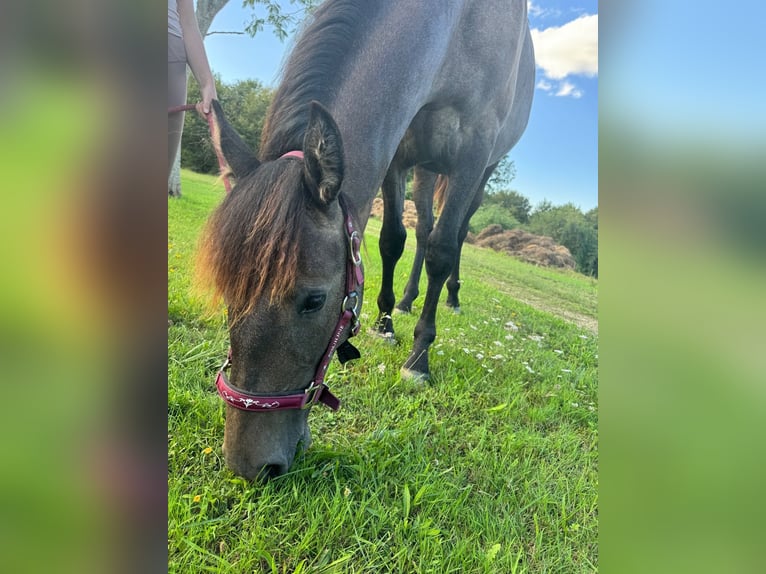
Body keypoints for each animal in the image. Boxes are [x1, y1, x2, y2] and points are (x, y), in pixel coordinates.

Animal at [195, 0, 536, 482]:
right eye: (227, 289)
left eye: (314, 301)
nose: (250, 465)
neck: (458, 28)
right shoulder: (400, 156)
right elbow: (393, 239)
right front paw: (386, 322)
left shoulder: (474, 150)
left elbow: (443, 250)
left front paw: (418, 360)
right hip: (426, 168)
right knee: (424, 229)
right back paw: (407, 301)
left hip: (482, 173)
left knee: (454, 237)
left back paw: (448, 298)